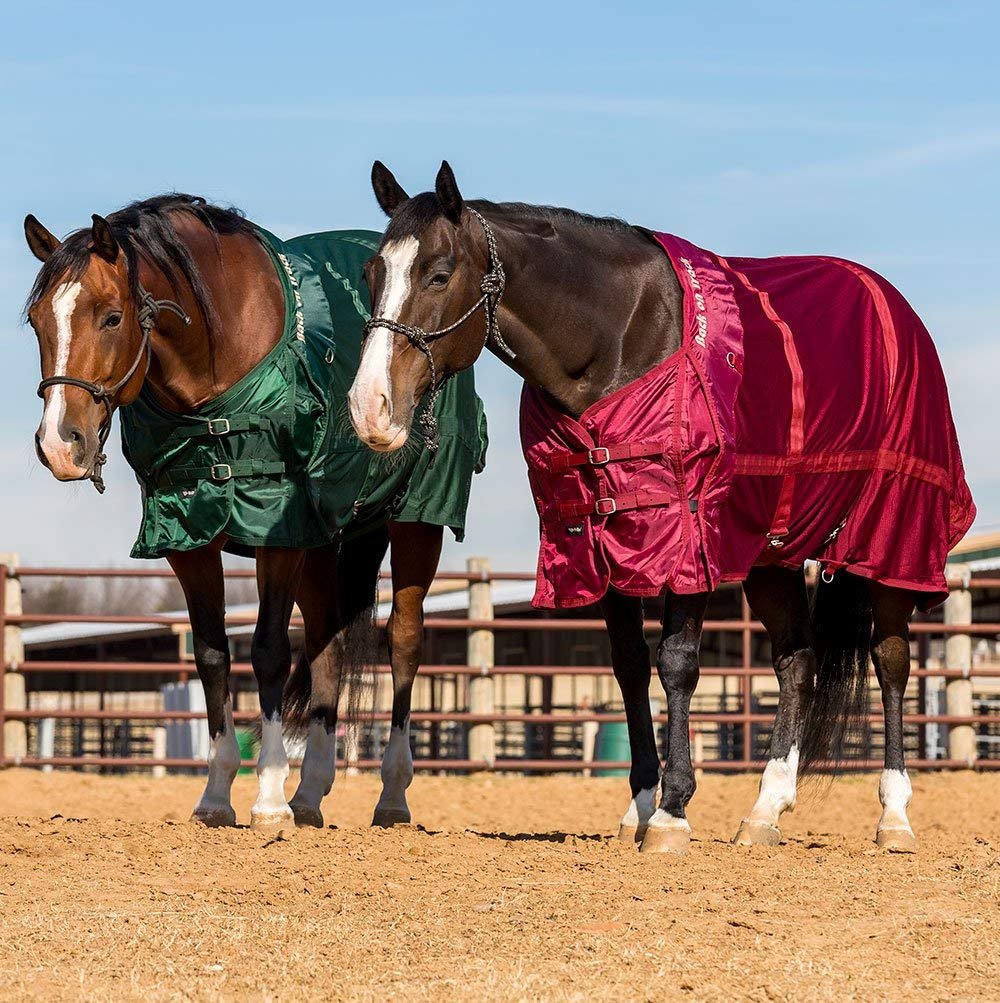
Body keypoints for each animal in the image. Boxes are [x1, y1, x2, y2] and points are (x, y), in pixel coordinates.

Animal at [22, 194, 486, 830]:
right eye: (38, 321)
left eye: (111, 317)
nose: (59, 444)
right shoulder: (189, 535)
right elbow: (213, 655)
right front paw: (217, 796)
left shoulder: (276, 530)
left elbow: (267, 652)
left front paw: (266, 795)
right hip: (324, 541)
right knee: (327, 645)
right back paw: (311, 793)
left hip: (416, 522)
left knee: (405, 641)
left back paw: (390, 796)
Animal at [347, 161, 974, 854]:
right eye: (372, 274)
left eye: (437, 273)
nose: (369, 408)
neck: (619, 339)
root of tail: (895, 306)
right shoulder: (599, 542)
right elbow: (628, 667)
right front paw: (641, 805)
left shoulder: (688, 535)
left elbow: (677, 665)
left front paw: (672, 813)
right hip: (771, 556)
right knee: (797, 662)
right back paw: (765, 810)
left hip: (890, 535)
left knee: (891, 660)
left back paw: (894, 818)